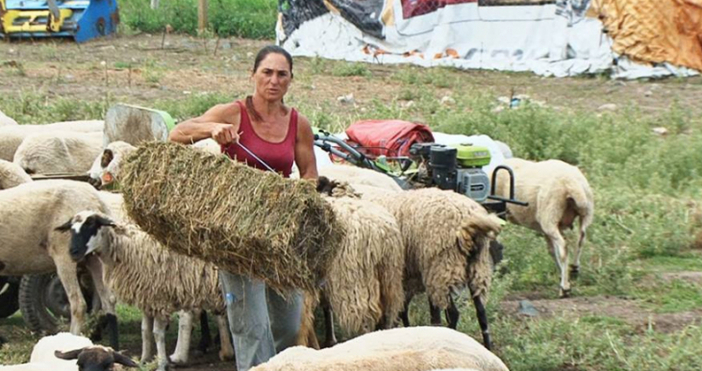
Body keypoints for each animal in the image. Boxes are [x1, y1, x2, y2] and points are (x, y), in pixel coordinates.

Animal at [0, 180, 117, 346]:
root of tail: (96, 198)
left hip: (65, 253)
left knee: (79, 304)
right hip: (93, 257)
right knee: (108, 301)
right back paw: (114, 346)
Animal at [59, 212, 235, 371]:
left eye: (91, 225)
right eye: (71, 230)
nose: (73, 252)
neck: (129, 248)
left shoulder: (159, 298)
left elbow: (157, 333)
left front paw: (162, 364)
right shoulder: (146, 297)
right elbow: (145, 331)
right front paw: (144, 360)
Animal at [492, 158, 596, 298]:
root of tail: (571, 183)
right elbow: (552, 250)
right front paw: (562, 273)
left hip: (549, 216)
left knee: (563, 247)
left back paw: (564, 288)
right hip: (585, 213)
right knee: (581, 239)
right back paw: (574, 268)